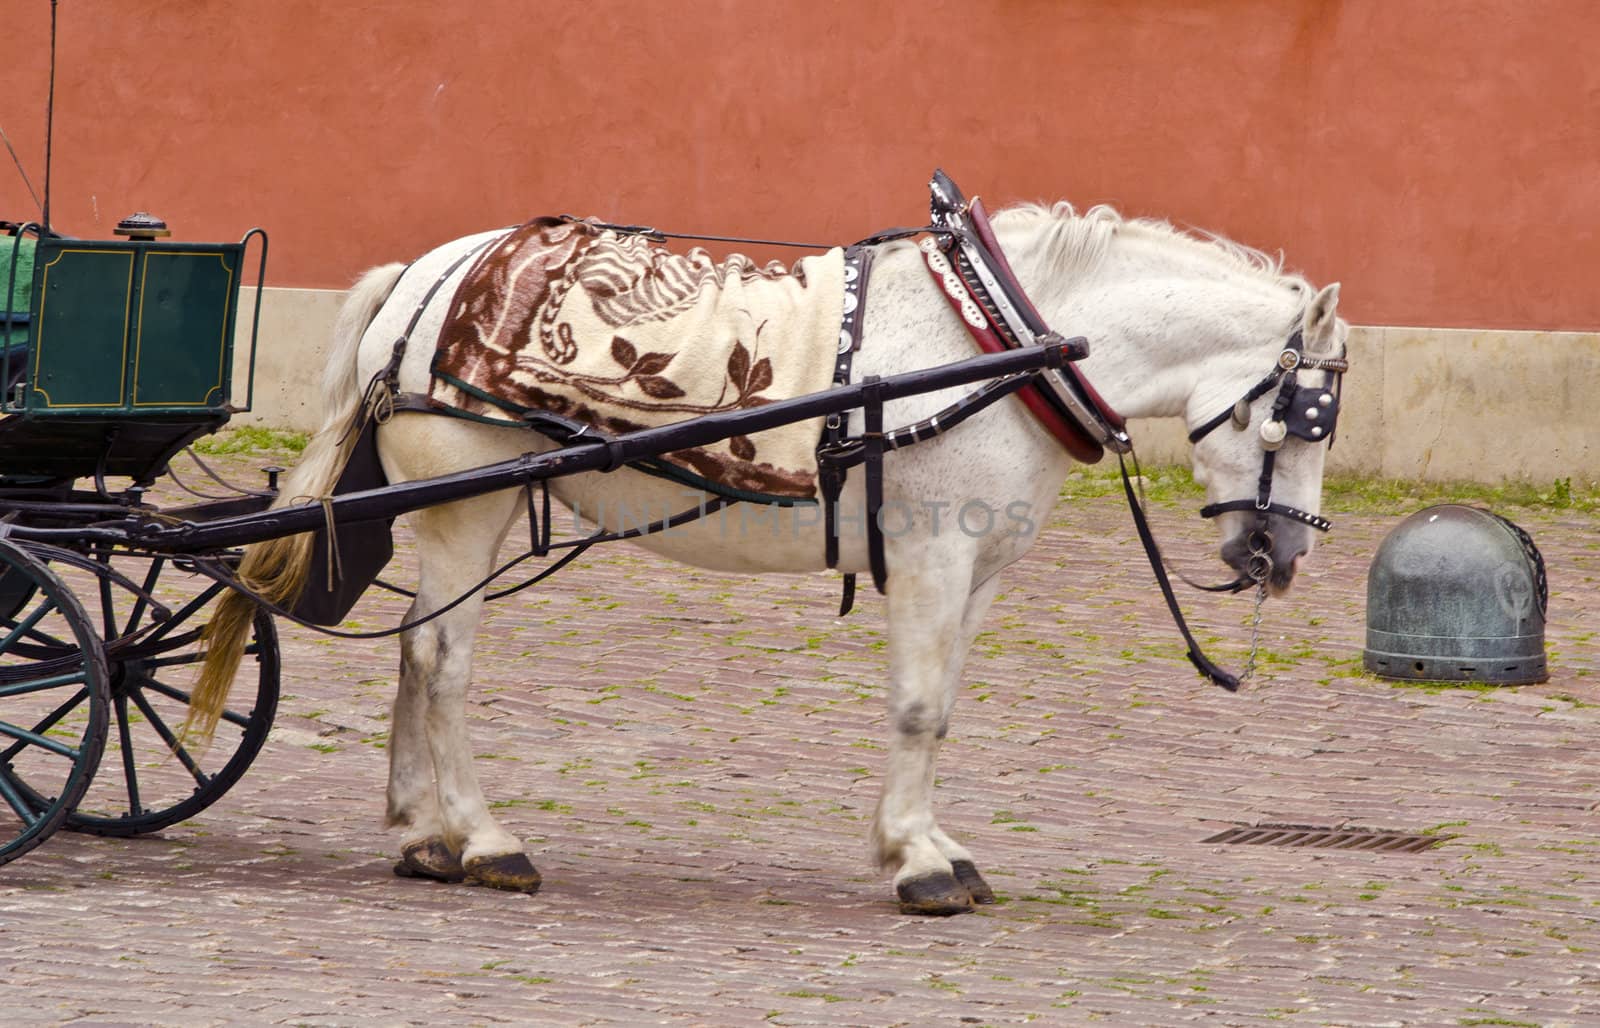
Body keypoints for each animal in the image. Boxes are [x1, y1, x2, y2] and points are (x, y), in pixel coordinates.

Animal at [200, 200, 1350, 909]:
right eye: (1307, 416)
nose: (1285, 555)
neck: (996, 342)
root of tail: (426, 273)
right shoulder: (932, 556)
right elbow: (917, 708)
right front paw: (919, 859)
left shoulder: (977, 572)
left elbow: (944, 707)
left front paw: (928, 841)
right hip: (464, 505)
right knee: (441, 662)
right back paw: (484, 839)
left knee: (413, 648)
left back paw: (422, 836)